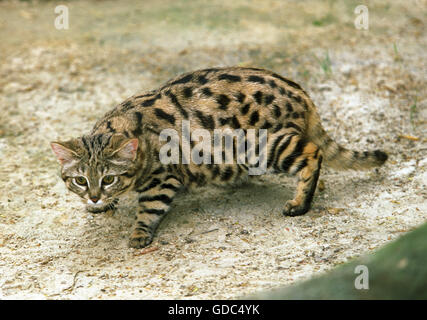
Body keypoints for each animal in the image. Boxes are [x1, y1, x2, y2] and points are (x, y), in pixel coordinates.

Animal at [51, 67, 388, 248]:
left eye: (109, 178)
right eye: (80, 180)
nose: (94, 196)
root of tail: (301, 92)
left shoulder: (163, 178)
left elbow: (149, 209)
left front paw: (138, 233)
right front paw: (102, 206)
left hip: (264, 146)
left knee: (312, 153)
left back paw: (299, 203)